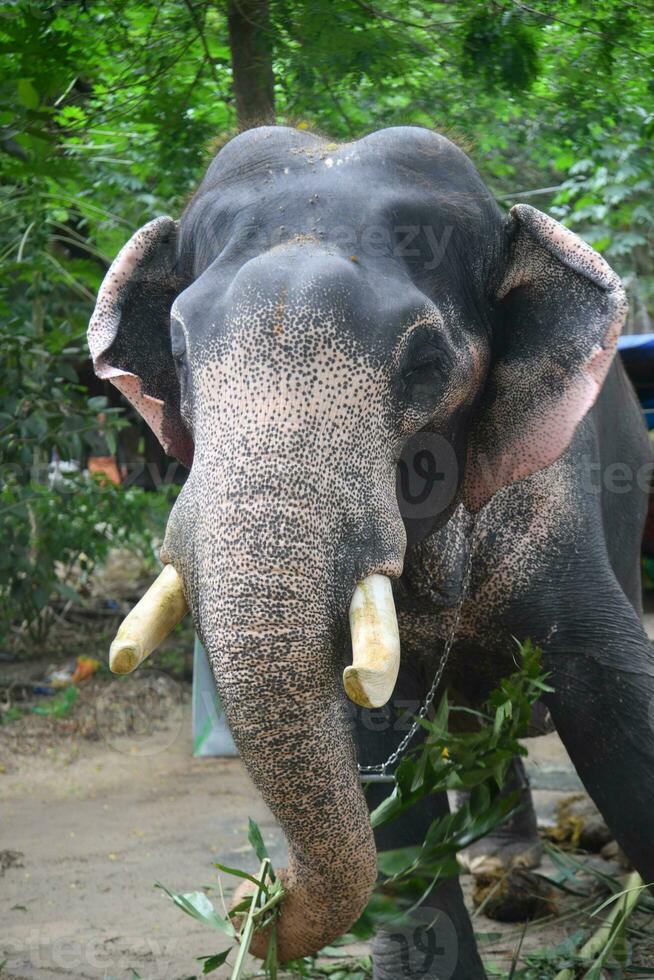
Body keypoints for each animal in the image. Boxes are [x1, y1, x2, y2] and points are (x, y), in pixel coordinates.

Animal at [88, 126, 654, 976]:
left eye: (425, 364)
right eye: (180, 356)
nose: (252, 903)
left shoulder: (559, 503)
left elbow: (615, 698)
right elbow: (372, 750)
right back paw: (502, 864)